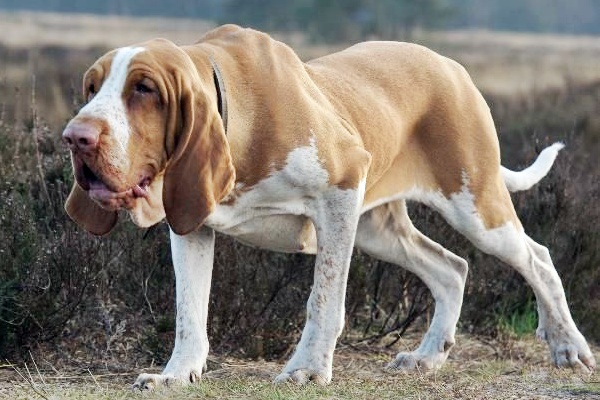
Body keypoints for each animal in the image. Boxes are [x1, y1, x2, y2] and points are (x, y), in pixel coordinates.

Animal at [62, 24, 596, 388]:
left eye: (144, 88)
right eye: (90, 88)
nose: (75, 137)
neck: (238, 118)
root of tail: (451, 66)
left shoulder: (339, 193)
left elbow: (323, 300)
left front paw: (307, 369)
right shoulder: (191, 224)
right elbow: (189, 309)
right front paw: (177, 374)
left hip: (474, 205)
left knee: (537, 259)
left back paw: (568, 346)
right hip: (379, 230)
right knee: (452, 268)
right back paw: (427, 357)